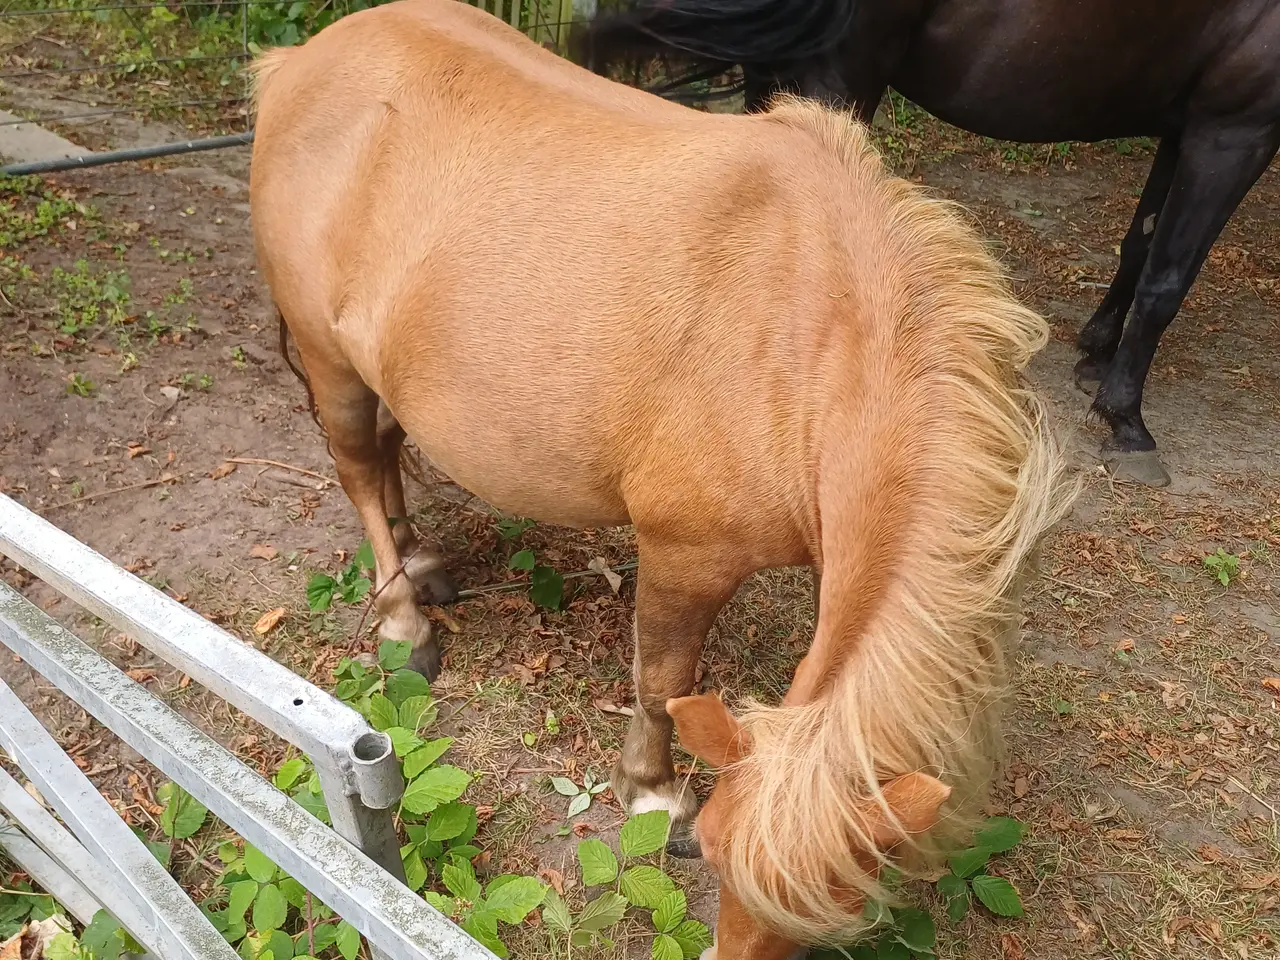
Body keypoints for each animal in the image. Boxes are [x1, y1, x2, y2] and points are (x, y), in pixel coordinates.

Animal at [248, 0, 1072, 954]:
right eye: (706, 853)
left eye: (846, 909)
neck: (810, 335)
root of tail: (296, 64)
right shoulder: (687, 555)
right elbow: (663, 682)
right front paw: (649, 790)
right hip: (328, 362)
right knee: (356, 472)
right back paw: (401, 620)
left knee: (384, 460)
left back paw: (422, 566)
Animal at [585, 0, 1280, 488]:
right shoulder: (1234, 130)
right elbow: (1169, 279)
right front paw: (1128, 421)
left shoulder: (1183, 125)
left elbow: (1141, 247)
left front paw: (1097, 355)